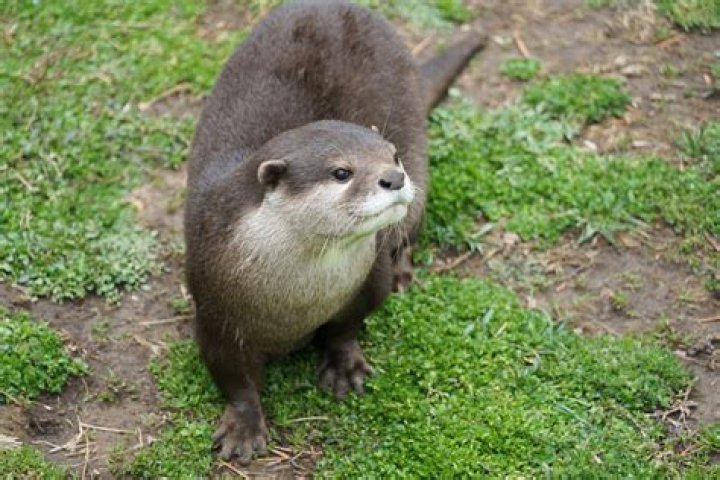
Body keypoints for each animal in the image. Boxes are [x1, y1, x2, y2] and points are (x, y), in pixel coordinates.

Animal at [185, 0, 485, 464]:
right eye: (341, 172)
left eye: (392, 156)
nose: (395, 177)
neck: (298, 300)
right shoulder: (214, 311)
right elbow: (234, 378)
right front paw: (244, 427)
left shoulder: (367, 282)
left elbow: (347, 326)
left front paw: (344, 366)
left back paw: (404, 272)